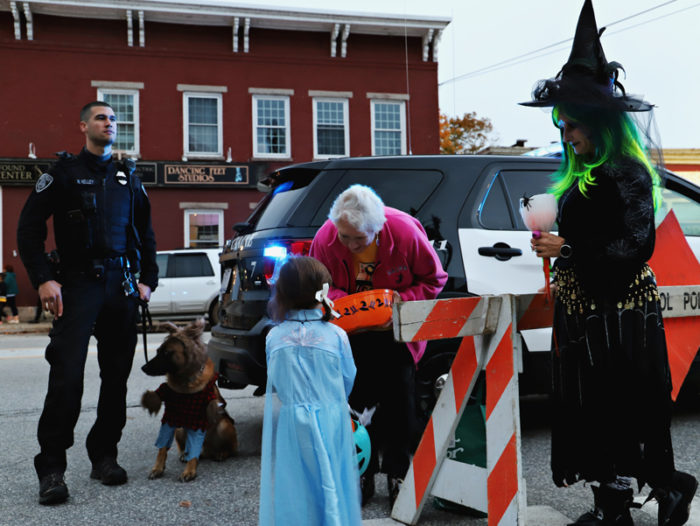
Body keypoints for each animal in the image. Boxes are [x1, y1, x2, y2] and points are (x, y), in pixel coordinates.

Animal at [140, 320, 238, 484]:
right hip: (180, 429)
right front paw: (158, 468)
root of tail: (207, 450)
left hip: (224, 424)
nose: (143, 368)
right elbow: (162, 448)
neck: (184, 385)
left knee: (229, 449)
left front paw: (189, 471)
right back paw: (185, 455)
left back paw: (221, 453)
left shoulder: (198, 420)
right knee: (190, 449)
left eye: (167, 353)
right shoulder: (169, 419)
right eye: (158, 351)